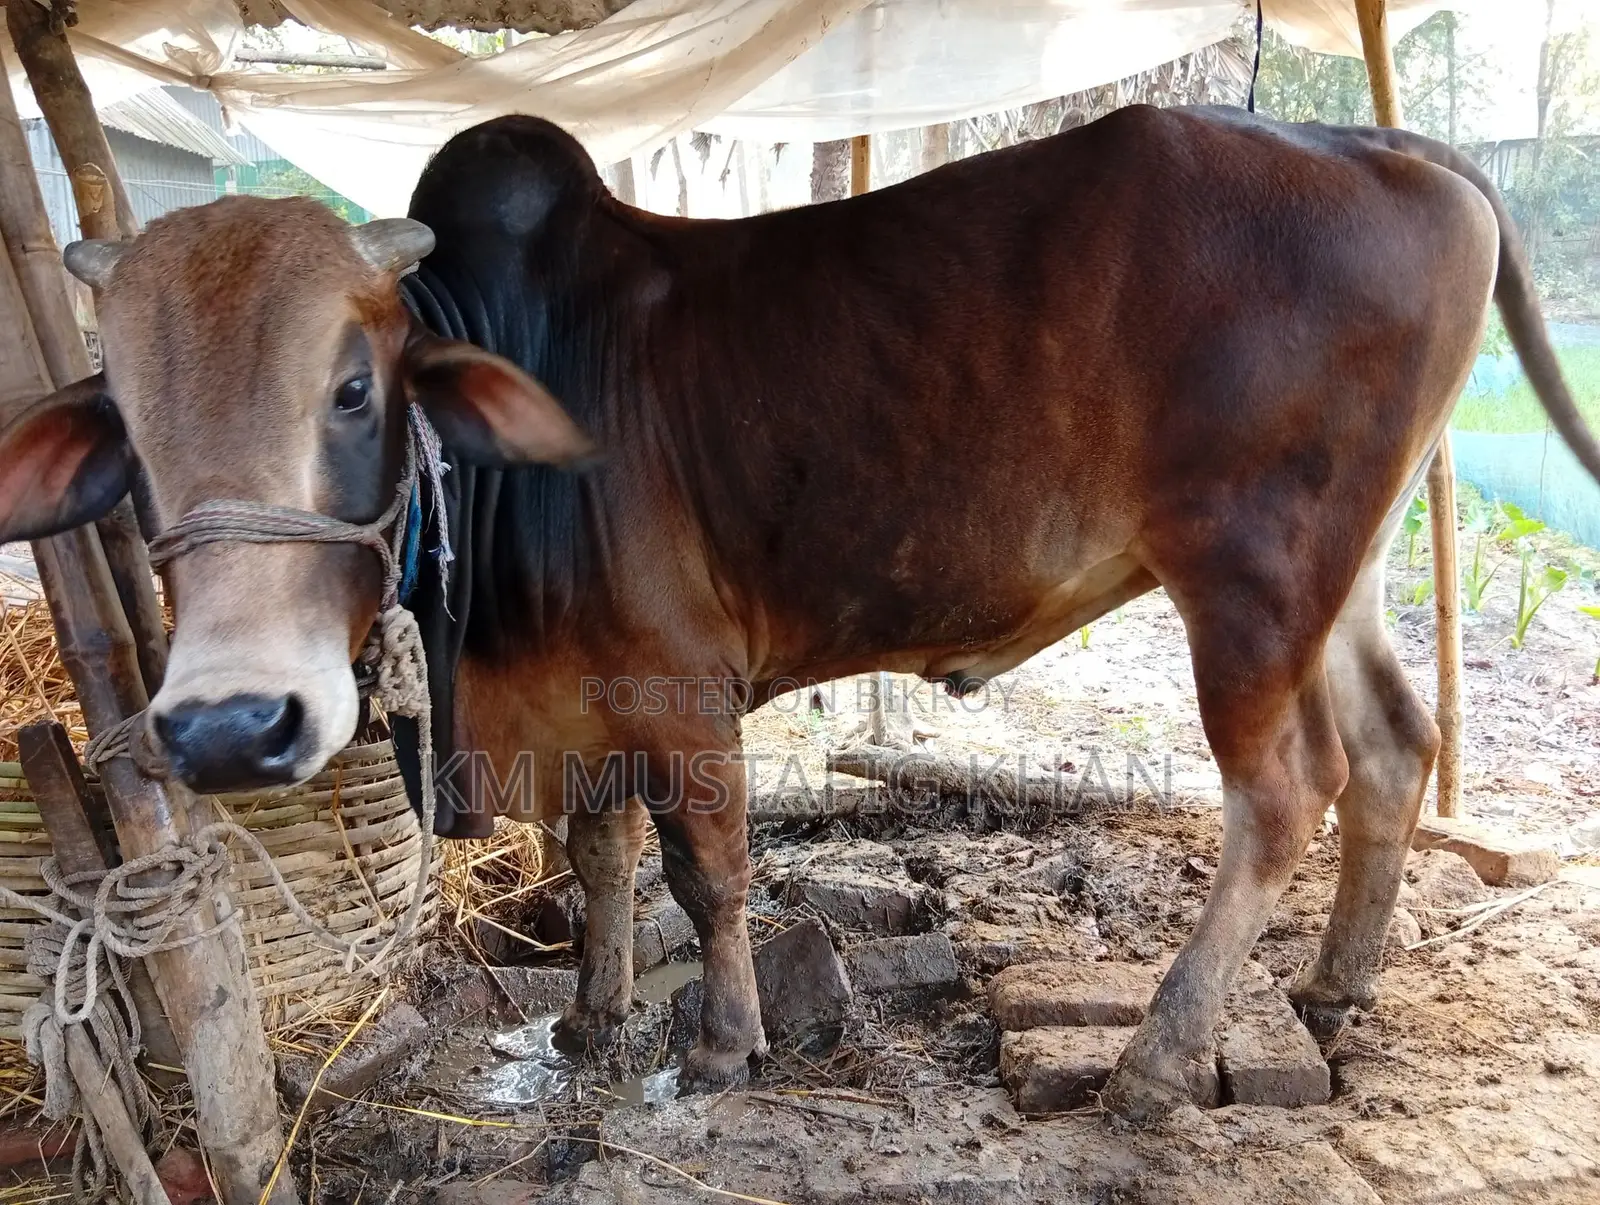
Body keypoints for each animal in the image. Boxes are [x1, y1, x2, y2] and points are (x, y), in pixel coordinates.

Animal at [2, 106, 1597, 1122]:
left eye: (354, 388)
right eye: (125, 426)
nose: (228, 725)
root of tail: (1395, 150)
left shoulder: (681, 686)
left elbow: (704, 872)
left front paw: (721, 1046)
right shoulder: (587, 693)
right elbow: (597, 852)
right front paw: (590, 1016)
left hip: (1249, 577)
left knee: (1283, 792)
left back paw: (1158, 1061)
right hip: (1339, 574)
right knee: (1392, 749)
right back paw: (1329, 993)